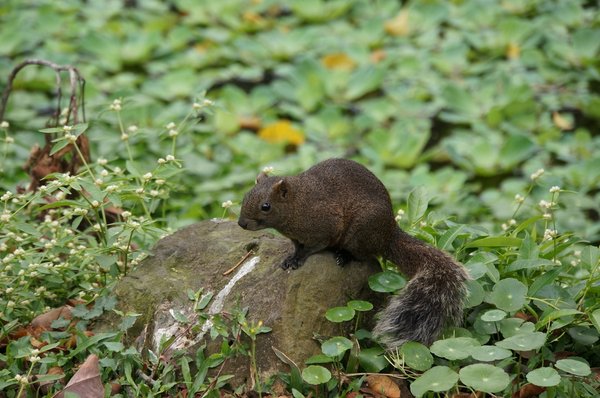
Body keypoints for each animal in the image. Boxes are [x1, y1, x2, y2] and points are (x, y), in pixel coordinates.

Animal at [238, 159, 468, 348]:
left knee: (365, 256)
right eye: (245, 195)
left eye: (266, 206)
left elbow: (313, 248)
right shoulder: (297, 237)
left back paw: (343, 256)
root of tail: (388, 233)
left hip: (359, 234)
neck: (298, 205)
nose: (241, 223)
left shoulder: (326, 226)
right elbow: (297, 246)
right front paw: (291, 257)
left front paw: (298, 259)